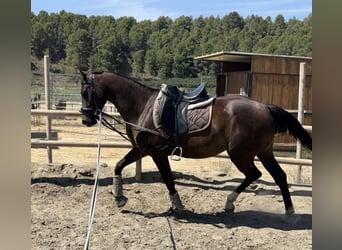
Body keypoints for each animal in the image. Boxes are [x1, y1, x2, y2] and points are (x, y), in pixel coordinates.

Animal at [80, 70, 312, 215]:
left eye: (85, 92)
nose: (85, 120)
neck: (143, 106)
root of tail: (266, 107)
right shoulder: (142, 149)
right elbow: (119, 166)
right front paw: (119, 198)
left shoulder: (157, 153)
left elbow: (168, 179)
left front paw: (178, 205)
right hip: (264, 152)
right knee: (279, 176)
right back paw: (288, 211)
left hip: (240, 154)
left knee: (254, 174)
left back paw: (229, 203)